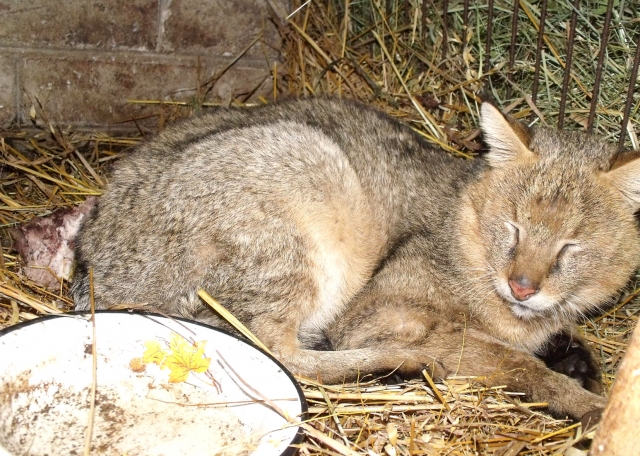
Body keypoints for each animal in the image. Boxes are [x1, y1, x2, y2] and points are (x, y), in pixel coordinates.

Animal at [70, 98, 640, 418]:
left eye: (571, 247)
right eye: (513, 228)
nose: (523, 285)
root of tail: (96, 269)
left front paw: (577, 361)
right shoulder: (382, 313)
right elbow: (512, 361)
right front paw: (581, 401)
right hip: (303, 226)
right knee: (282, 353)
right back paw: (397, 366)